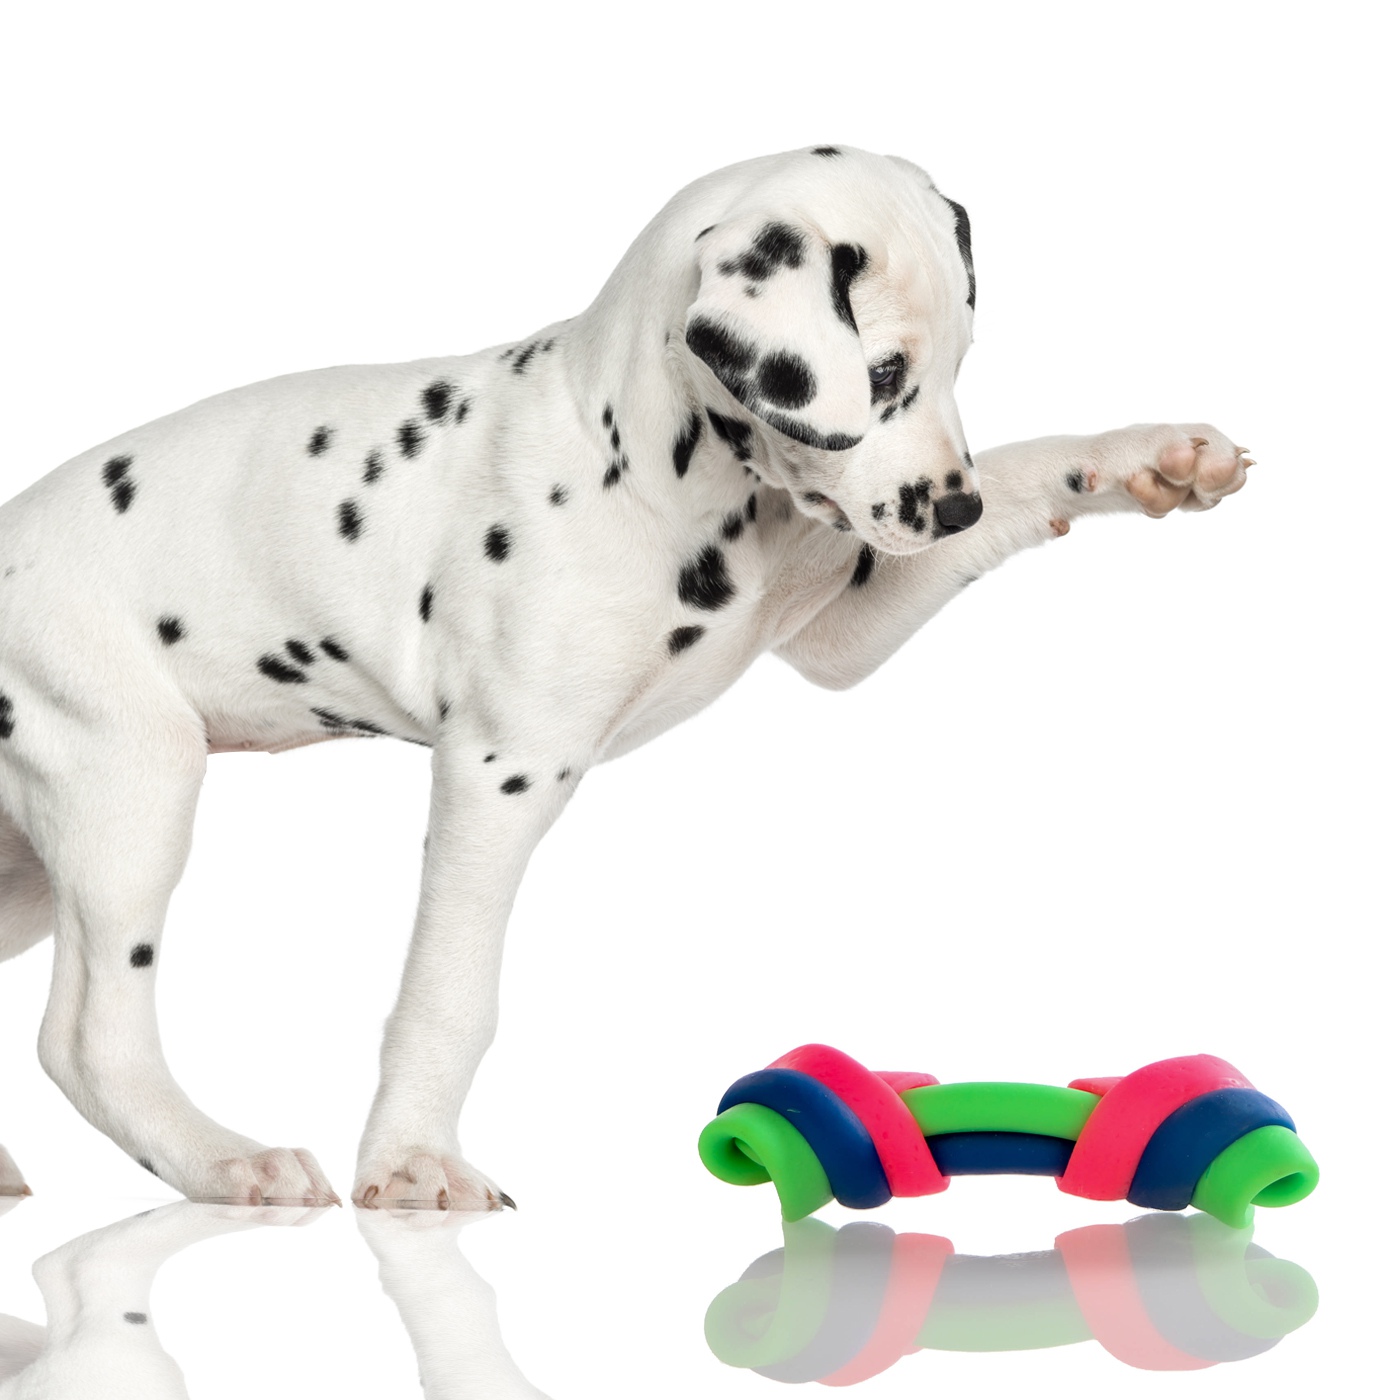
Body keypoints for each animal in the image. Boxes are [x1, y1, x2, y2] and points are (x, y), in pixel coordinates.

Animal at [0, 145, 1250, 1209]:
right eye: (882, 371)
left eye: (950, 367)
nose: (948, 506)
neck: (655, 465)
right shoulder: (499, 770)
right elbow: (449, 991)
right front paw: (412, 1163)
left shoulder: (845, 627)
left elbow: (1034, 471)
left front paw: (1155, 455)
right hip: (135, 788)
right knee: (89, 1037)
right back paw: (226, 1161)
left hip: (31, 871)